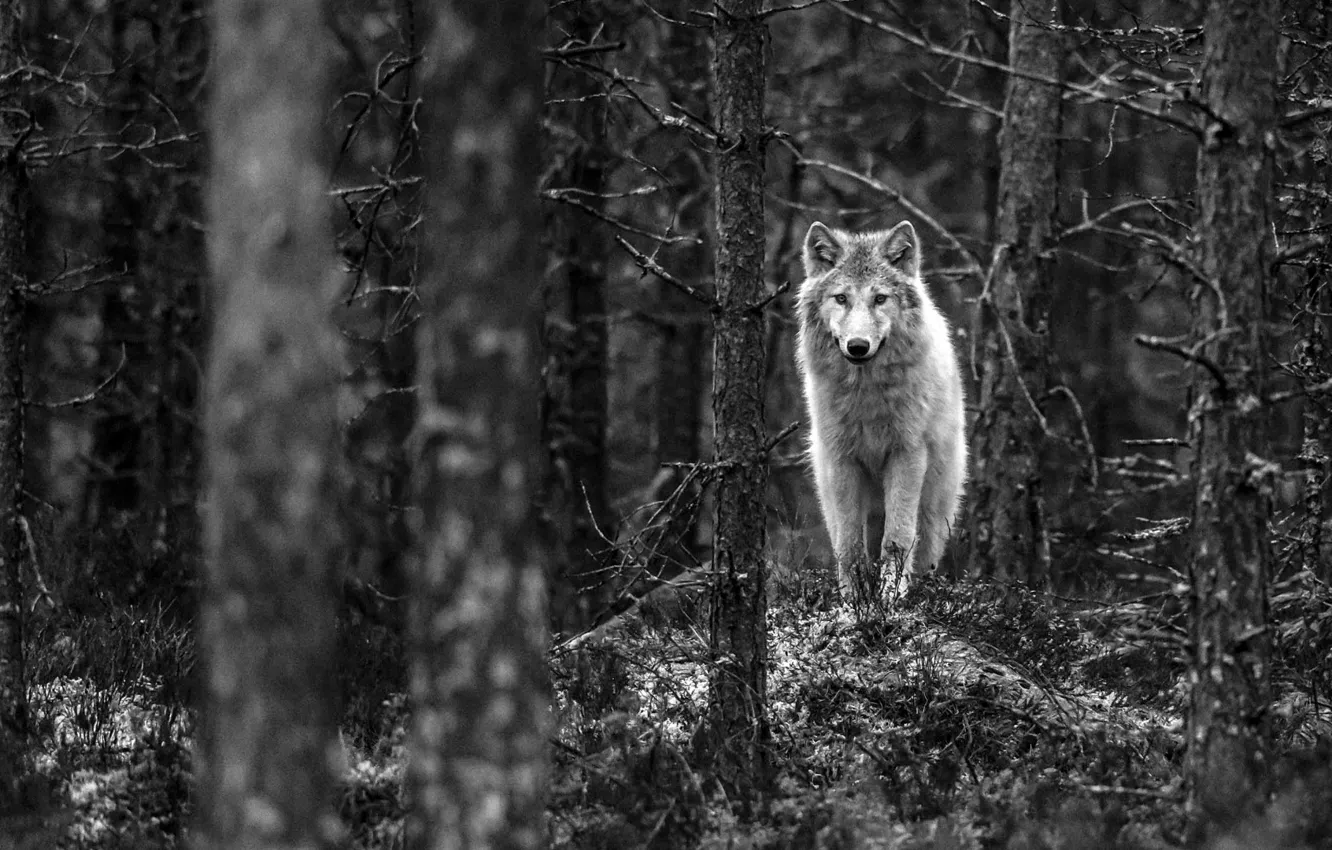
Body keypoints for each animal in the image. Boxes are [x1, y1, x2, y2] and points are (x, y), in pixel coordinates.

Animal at [796, 220, 967, 602]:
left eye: (879, 299)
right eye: (841, 298)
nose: (858, 346)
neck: (866, 396)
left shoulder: (907, 455)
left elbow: (897, 537)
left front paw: (889, 596)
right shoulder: (842, 459)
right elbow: (848, 544)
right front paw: (853, 600)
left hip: (935, 507)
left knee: (924, 548)